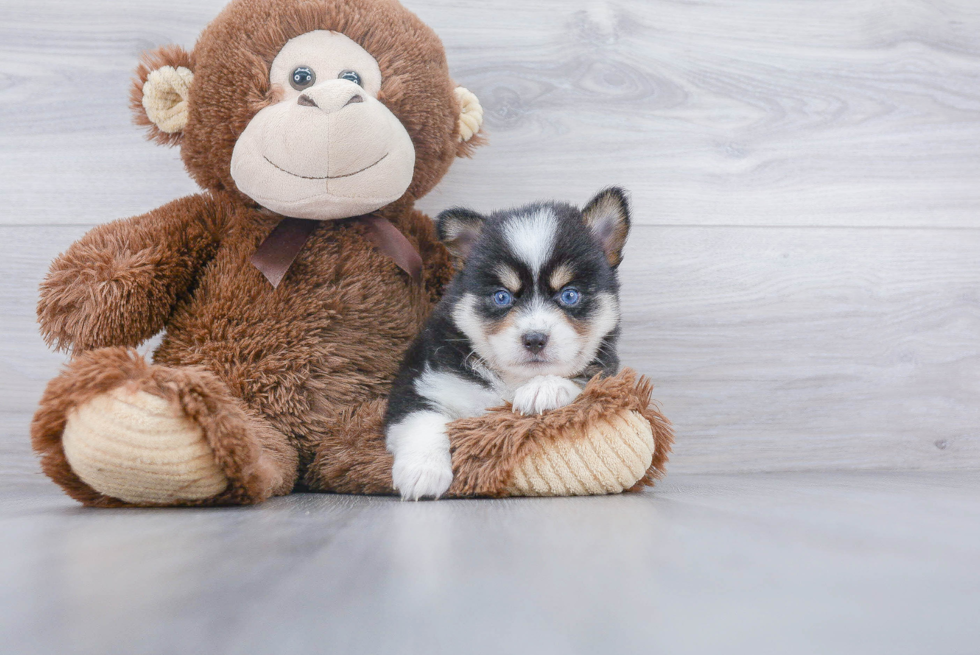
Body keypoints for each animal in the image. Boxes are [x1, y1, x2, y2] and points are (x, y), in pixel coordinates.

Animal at [382, 187, 628, 500]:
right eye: (502, 297)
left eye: (570, 295)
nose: (534, 339)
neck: (511, 381)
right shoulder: (418, 387)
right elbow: (423, 421)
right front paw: (423, 471)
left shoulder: (608, 372)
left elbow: (583, 381)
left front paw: (543, 389)